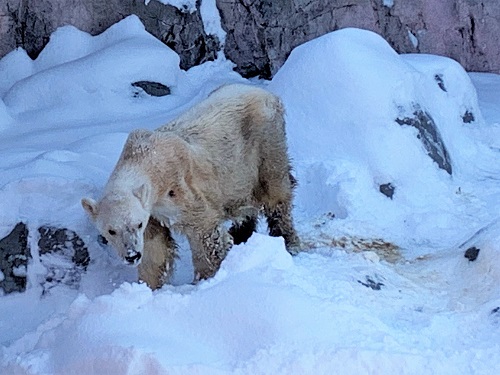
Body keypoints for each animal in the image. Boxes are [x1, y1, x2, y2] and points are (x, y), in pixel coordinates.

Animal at [82, 83, 300, 288]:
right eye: (111, 231)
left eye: (137, 224)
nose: (132, 255)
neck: (144, 157)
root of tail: (266, 93)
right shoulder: (151, 211)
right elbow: (155, 248)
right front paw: (148, 285)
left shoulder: (180, 191)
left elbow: (204, 232)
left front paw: (205, 279)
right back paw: (241, 235)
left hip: (265, 142)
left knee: (275, 191)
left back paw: (288, 241)